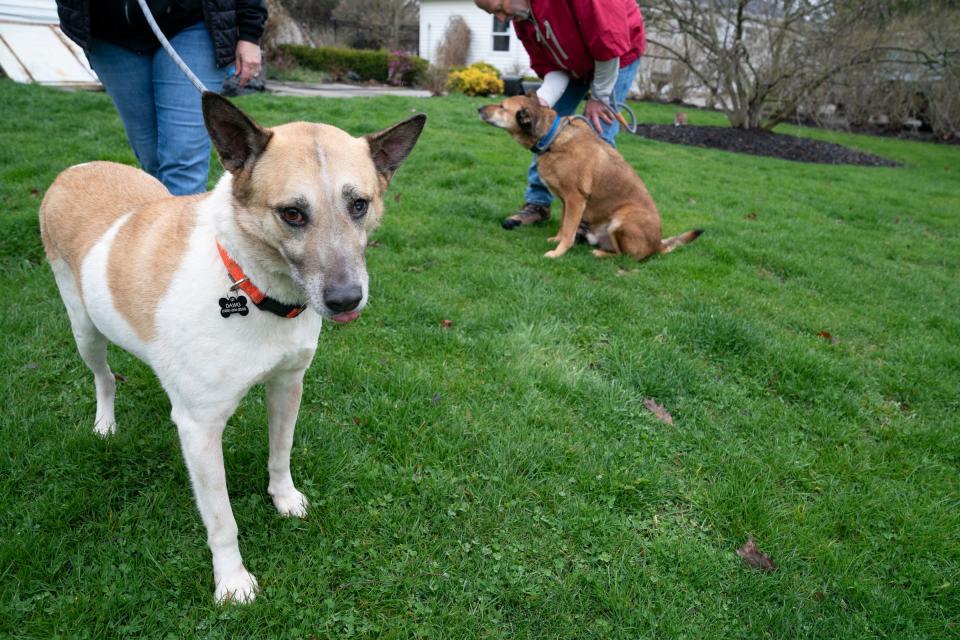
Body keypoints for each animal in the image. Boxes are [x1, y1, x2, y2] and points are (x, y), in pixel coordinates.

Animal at [41, 92, 424, 604]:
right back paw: (105, 423)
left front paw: (284, 498)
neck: (249, 284)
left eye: (359, 204)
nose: (346, 300)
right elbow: (222, 519)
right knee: (103, 376)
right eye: (292, 213)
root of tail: (75, 167)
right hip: (84, 328)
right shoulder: (201, 428)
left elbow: (281, 452)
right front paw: (232, 580)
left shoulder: (288, 384)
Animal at [478, 95, 696, 260]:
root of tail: (657, 244)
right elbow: (564, 226)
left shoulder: (575, 200)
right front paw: (556, 240)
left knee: (627, 256)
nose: (478, 107)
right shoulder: (566, 202)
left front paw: (558, 253)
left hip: (621, 219)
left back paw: (600, 254)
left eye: (502, 106)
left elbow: (568, 232)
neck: (553, 138)